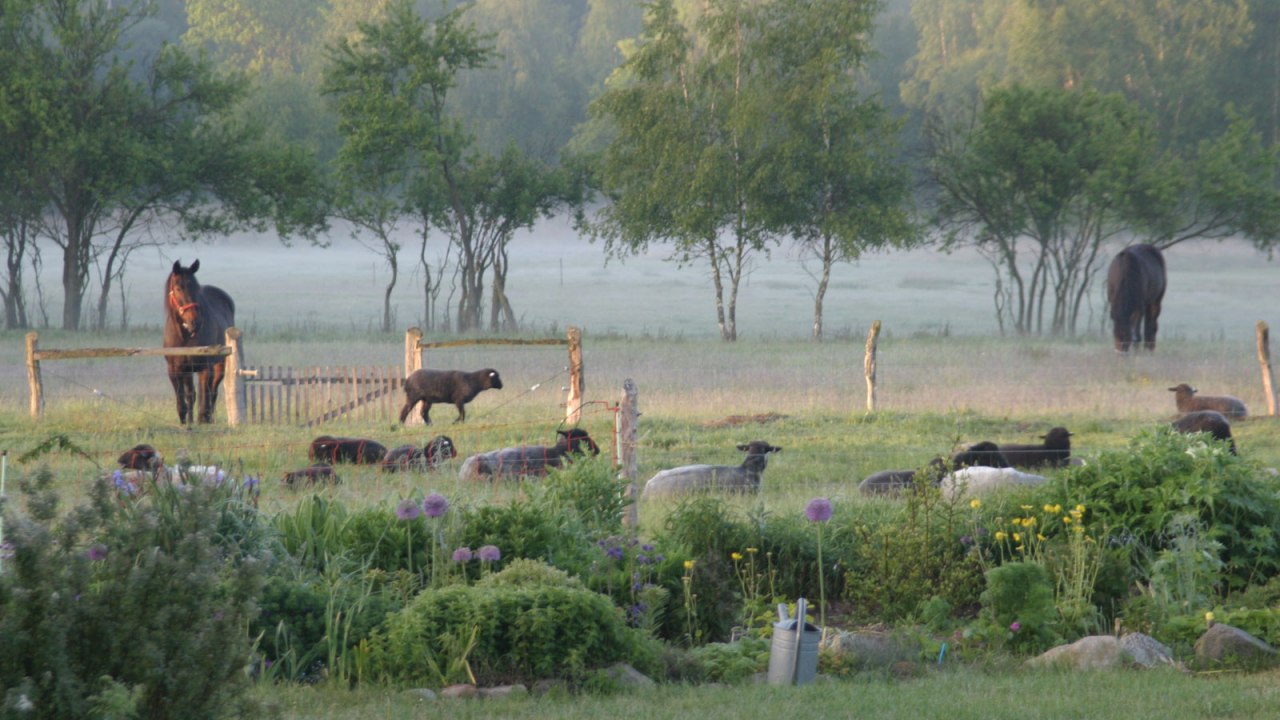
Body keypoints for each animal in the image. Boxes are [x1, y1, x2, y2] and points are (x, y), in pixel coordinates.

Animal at [164, 260, 235, 424]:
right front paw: (185, 423)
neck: (184, 337)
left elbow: (204, 399)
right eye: (178, 288)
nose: (194, 321)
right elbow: (183, 402)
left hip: (219, 365)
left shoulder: (205, 368)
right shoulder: (175, 370)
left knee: (212, 392)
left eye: (196, 288)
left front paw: (203, 420)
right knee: (192, 395)